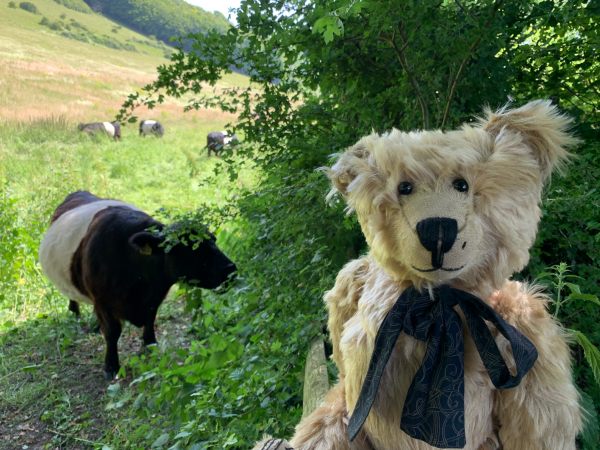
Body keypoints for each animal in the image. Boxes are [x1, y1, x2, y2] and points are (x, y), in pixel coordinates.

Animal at [38, 191, 237, 380]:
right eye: (188, 248)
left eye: (214, 239)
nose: (230, 269)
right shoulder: (102, 301)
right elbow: (112, 332)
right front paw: (111, 366)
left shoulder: (155, 297)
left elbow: (150, 321)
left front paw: (150, 346)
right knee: (73, 300)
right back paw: (76, 314)